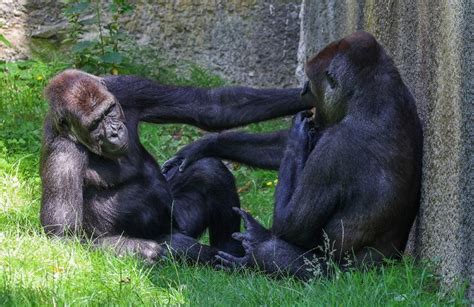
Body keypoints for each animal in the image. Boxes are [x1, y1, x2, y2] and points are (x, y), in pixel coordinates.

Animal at [39, 70, 312, 264]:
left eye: (110, 111)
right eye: (96, 124)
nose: (115, 132)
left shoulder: (126, 88)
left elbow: (212, 107)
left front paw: (309, 94)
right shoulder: (62, 155)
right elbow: (64, 238)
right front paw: (145, 249)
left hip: (181, 219)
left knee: (209, 171)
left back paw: (232, 253)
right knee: (174, 243)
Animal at [165, 31, 424, 280]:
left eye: (311, 81)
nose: (303, 90)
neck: (373, 94)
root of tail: (388, 267)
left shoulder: (334, 148)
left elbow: (290, 225)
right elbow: (280, 148)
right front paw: (207, 144)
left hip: (345, 277)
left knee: (272, 251)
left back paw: (249, 257)